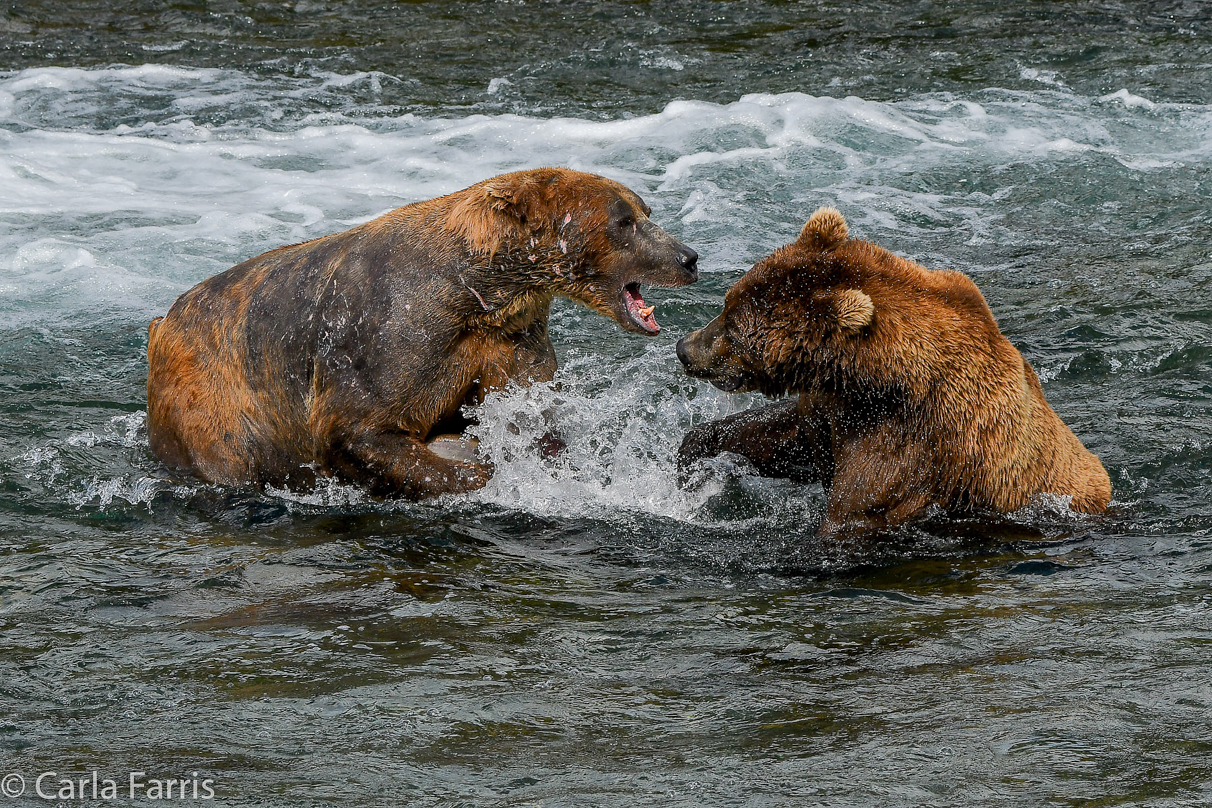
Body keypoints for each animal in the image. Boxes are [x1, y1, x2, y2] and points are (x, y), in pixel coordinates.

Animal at [149, 169, 702, 499]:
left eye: (646, 211)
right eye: (624, 220)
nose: (688, 257)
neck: (482, 288)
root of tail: (162, 324)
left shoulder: (508, 339)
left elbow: (528, 418)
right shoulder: (389, 337)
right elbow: (362, 426)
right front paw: (482, 476)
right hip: (215, 400)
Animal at [678, 207, 1110, 537]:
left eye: (734, 331)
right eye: (728, 304)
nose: (685, 348)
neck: (881, 374)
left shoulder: (908, 445)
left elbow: (853, 514)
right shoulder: (839, 405)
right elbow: (785, 435)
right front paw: (689, 462)